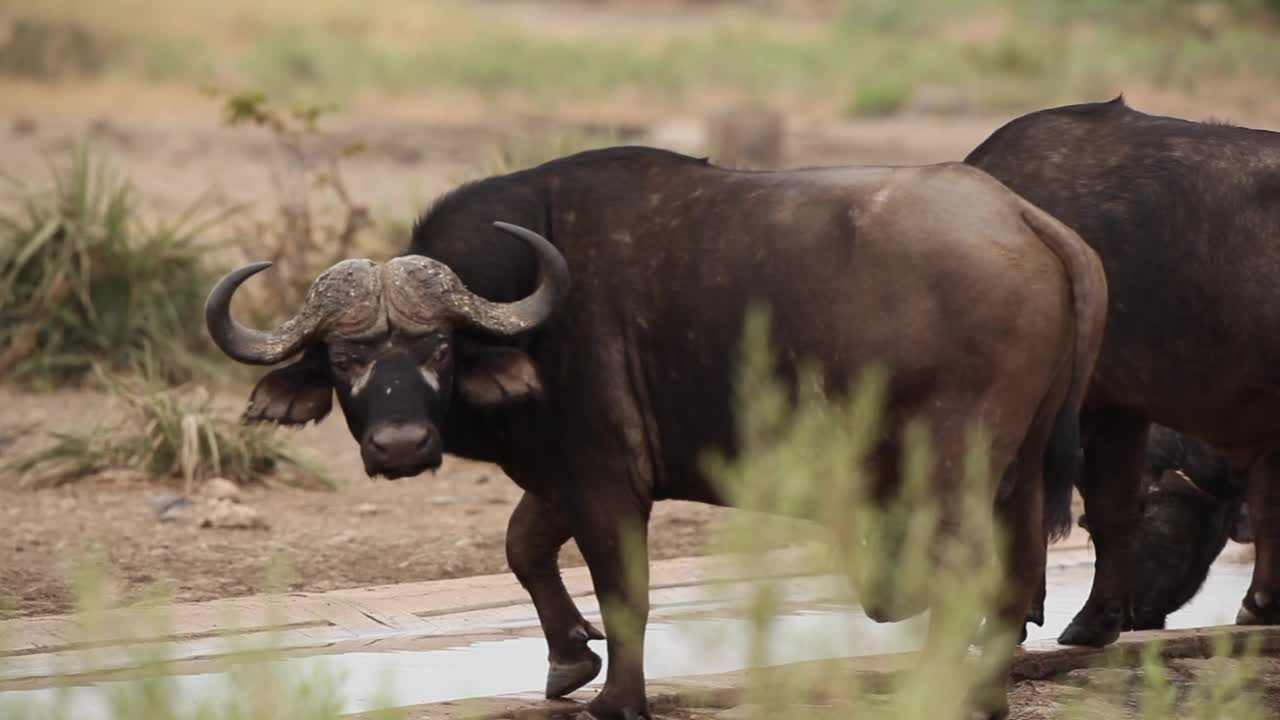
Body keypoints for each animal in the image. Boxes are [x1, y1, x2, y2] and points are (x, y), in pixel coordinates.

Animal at [204, 147, 1105, 717]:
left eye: (437, 347)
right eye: (345, 357)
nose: (398, 445)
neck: (533, 313)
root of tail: (1025, 219)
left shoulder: (603, 477)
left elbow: (623, 587)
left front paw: (616, 699)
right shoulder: (562, 472)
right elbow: (523, 545)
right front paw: (569, 658)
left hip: (952, 465)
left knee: (968, 575)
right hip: (1022, 470)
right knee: (1013, 577)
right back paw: (982, 696)